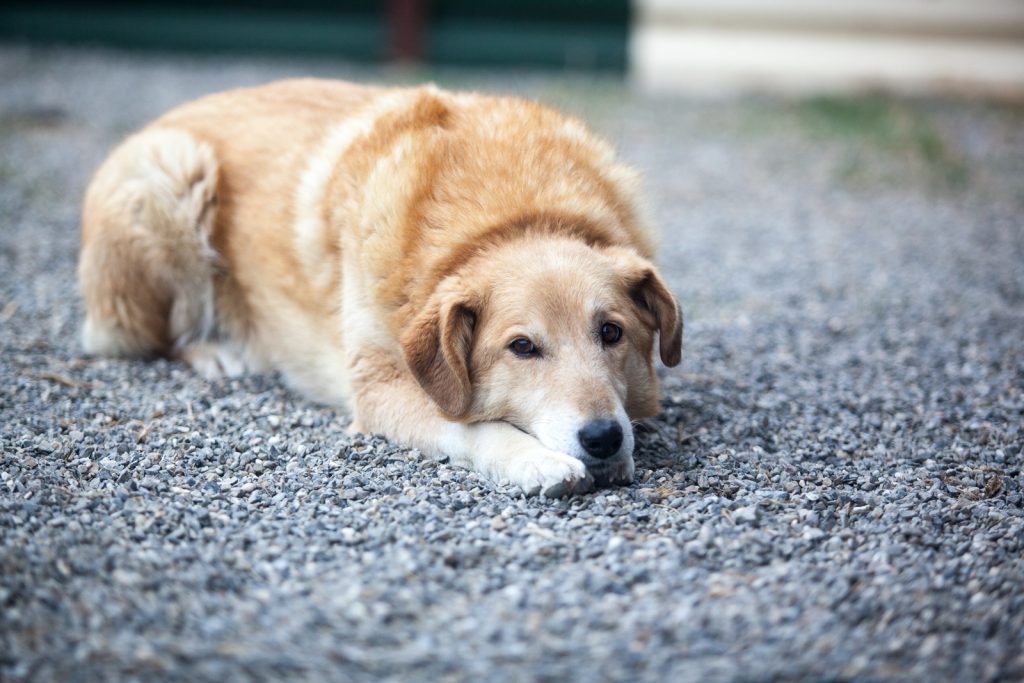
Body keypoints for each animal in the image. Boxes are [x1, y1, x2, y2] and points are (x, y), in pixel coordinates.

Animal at [77, 80, 679, 497]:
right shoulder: (378, 386)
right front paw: (537, 459)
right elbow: (471, 425)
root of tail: (166, 117)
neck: (512, 219)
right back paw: (216, 350)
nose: (603, 438)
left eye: (611, 333)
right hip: (172, 173)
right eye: (523, 347)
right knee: (157, 336)